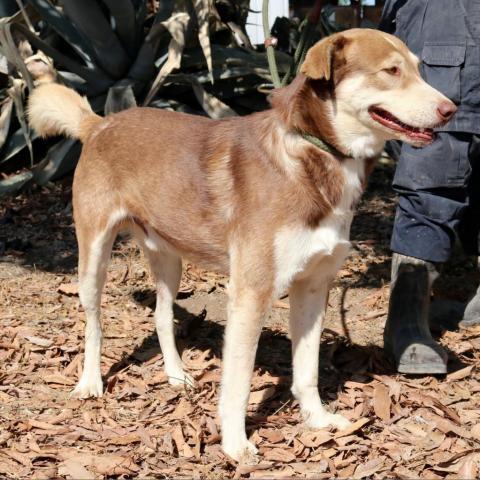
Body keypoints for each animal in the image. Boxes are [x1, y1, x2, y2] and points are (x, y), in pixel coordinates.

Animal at [28, 28, 456, 464]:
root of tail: (101, 123)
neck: (312, 154)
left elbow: (307, 370)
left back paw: (176, 374)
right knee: (94, 320)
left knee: (162, 316)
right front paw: (235, 444)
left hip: (169, 257)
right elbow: (238, 383)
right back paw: (90, 381)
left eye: (419, 69)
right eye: (391, 71)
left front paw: (317, 420)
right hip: (94, 254)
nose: (450, 110)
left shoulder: (313, 288)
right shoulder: (251, 294)